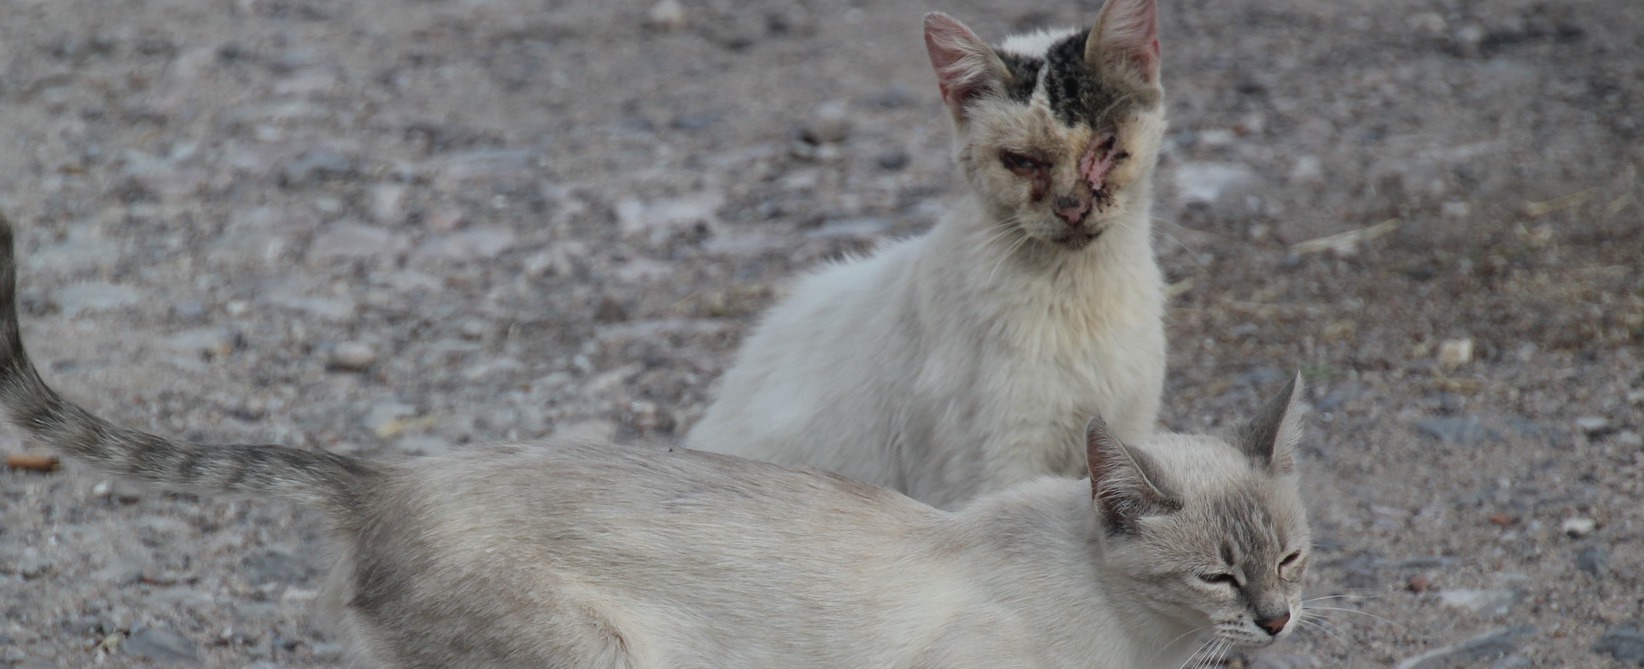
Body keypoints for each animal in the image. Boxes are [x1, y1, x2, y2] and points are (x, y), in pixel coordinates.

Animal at [687, 0, 1177, 509]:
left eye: (1105, 144)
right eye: (1022, 161)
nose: (1072, 207)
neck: (1079, 294)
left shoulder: (1126, 428)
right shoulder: (994, 466)